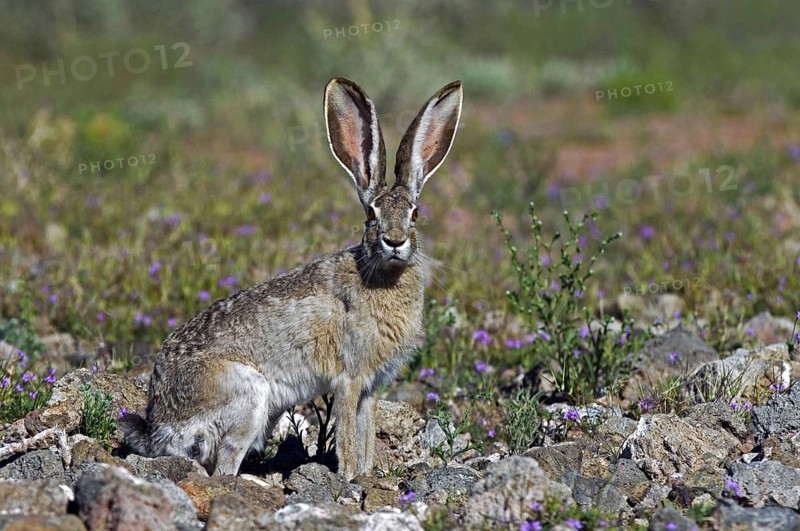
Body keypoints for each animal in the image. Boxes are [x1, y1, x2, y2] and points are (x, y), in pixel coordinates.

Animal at [120, 78, 463, 479]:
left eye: (416, 213)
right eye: (370, 214)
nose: (394, 241)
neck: (381, 274)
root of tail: (159, 429)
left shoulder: (370, 388)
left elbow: (366, 431)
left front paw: (367, 474)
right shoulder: (349, 378)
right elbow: (349, 435)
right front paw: (348, 477)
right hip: (249, 397)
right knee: (224, 464)